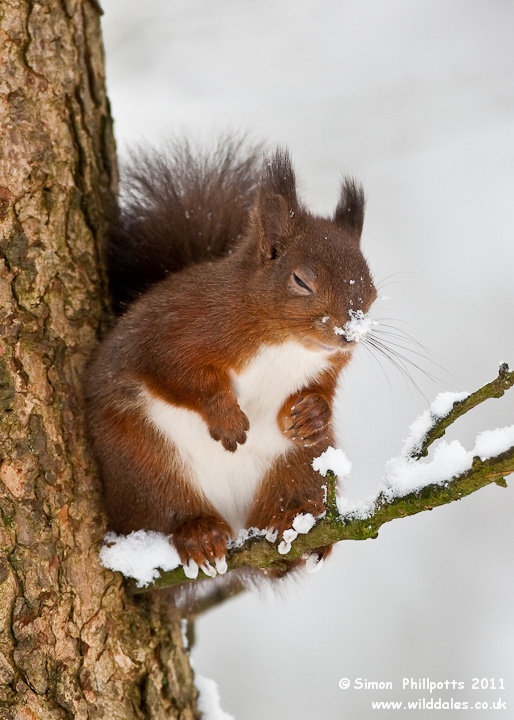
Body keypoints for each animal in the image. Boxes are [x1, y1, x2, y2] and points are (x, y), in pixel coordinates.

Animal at [84, 137, 377, 578]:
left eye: (372, 290)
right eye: (301, 281)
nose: (350, 332)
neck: (283, 344)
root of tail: (236, 520)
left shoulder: (327, 367)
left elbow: (324, 390)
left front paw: (312, 413)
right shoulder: (174, 331)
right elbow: (176, 373)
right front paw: (226, 417)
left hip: (300, 465)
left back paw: (294, 524)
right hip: (142, 465)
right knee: (166, 512)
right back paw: (198, 532)